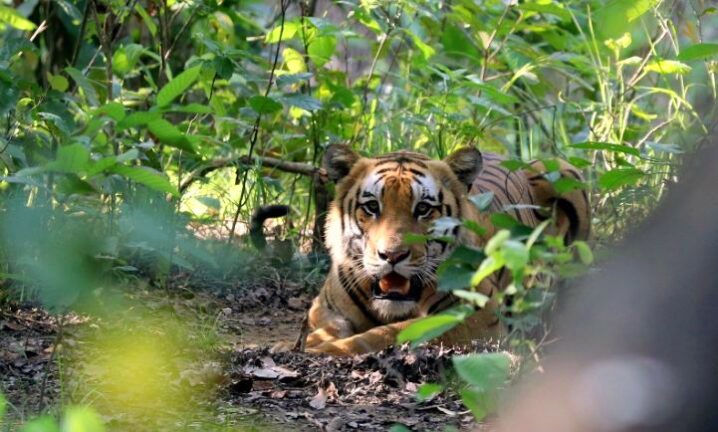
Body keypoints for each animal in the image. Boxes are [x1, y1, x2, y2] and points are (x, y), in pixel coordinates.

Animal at [299, 144, 590, 356]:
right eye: (372, 207)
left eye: (423, 208)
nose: (392, 256)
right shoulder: (324, 307)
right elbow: (329, 325)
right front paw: (312, 341)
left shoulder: (476, 316)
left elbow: (391, 333)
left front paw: (324, 349)